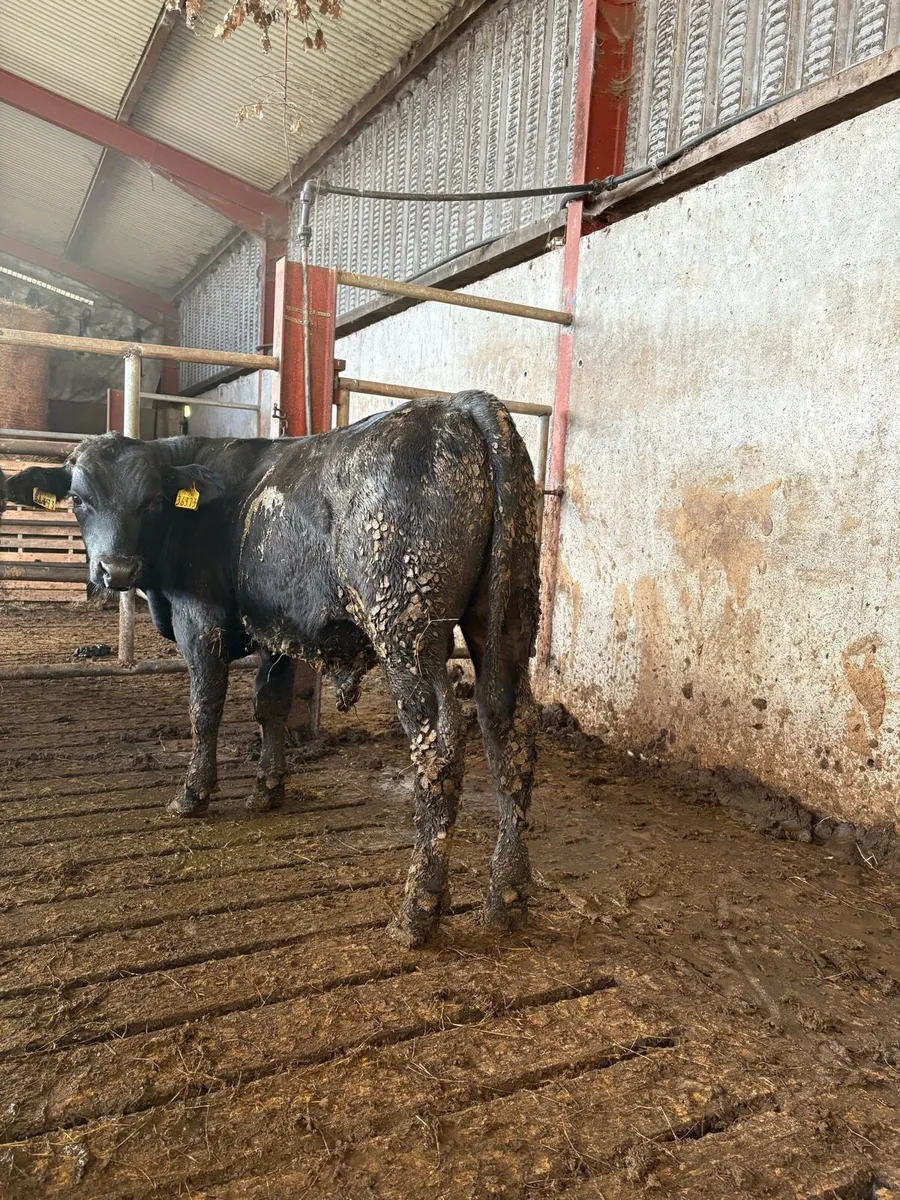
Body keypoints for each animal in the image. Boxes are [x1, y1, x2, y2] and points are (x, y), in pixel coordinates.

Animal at [7, 392, 540, 947]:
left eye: (151, 501)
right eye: (78, 499)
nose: (117, 570)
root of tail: (460, 405)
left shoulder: (200, 620)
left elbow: (205, 708)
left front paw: (192, 793)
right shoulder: (276, 629)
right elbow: (272, 705)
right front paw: (268, 788)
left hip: (407, 627)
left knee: (439, 744)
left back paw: (418, 911)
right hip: (510, 617)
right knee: (512, 730)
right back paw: (507, 896)